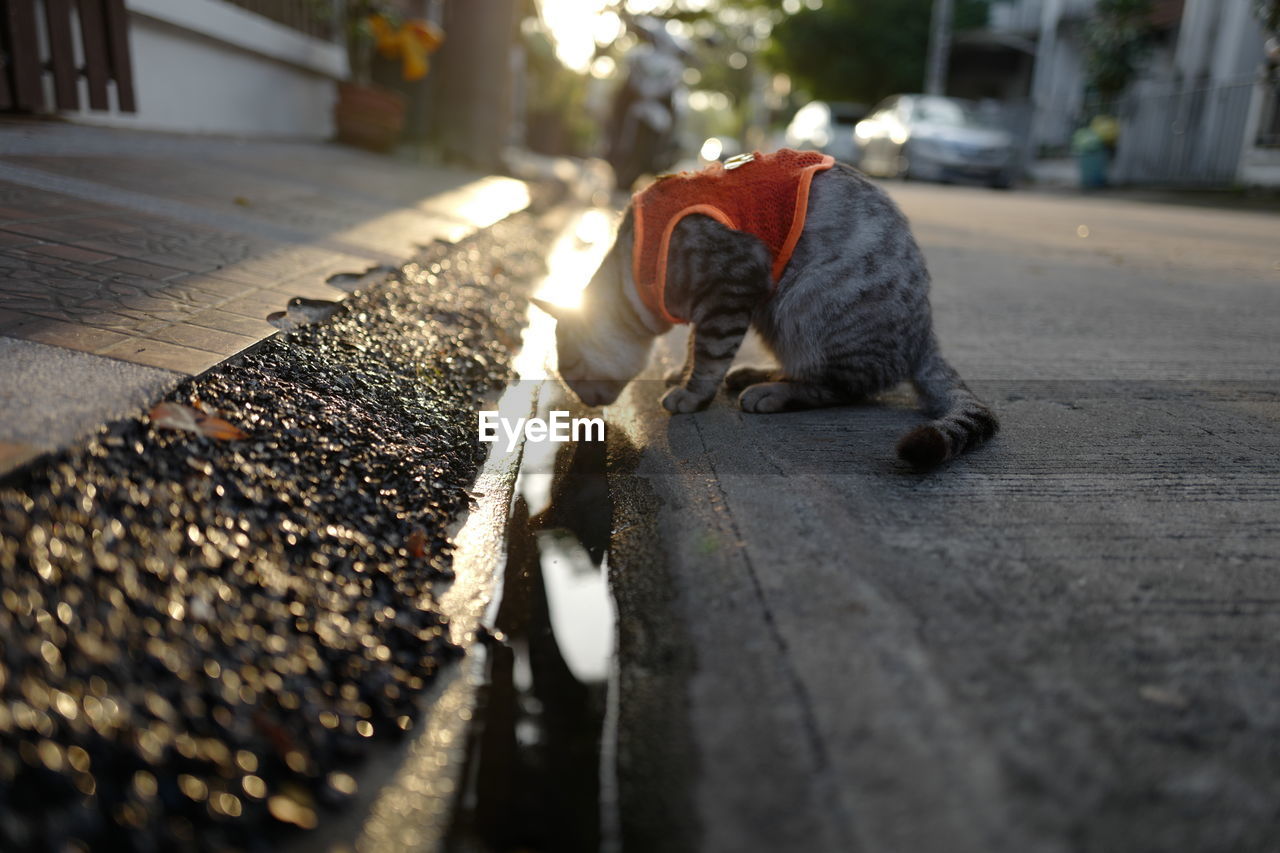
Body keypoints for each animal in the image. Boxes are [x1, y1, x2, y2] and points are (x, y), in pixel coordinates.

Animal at [529, 156, 998, 468]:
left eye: (570, 369)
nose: (581, 402)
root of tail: (925, 333)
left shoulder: (733, 284)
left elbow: (709, 355)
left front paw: (691, 394)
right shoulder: (717, 304)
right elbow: (695, 348)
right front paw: (681, 373)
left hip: (803, 303)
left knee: (840, 386)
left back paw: (769, 392)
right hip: (775, 318)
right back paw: (756, 376)